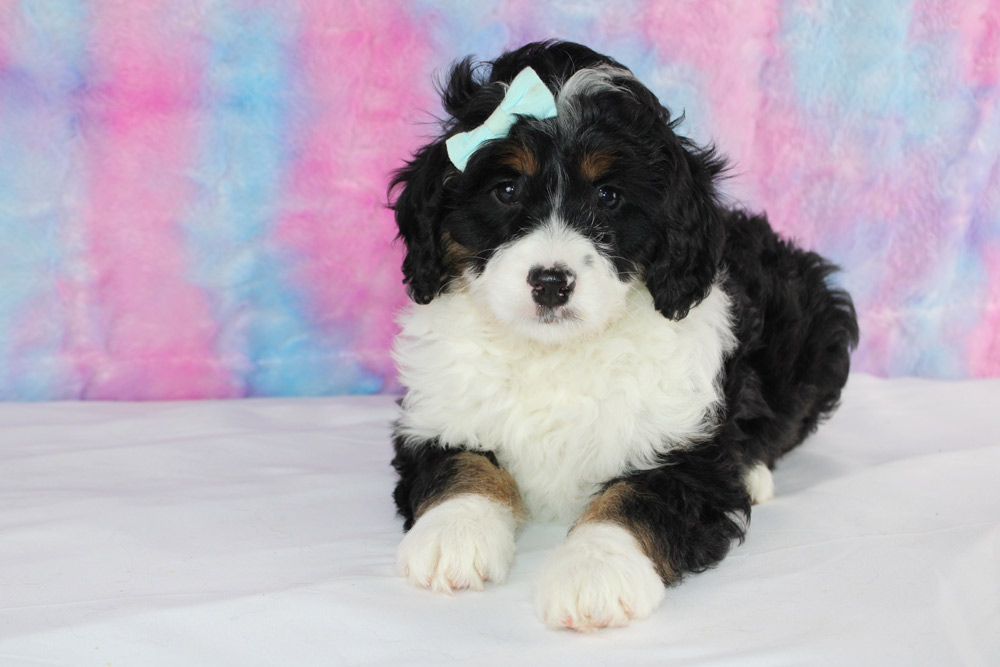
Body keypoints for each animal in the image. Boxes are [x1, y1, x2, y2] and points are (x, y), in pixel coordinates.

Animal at [388, 41, 858, 631]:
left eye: (609, 196)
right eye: (506, 189)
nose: (551, 282)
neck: (555, 353)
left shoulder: (682, 445)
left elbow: (636, 498)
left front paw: (595, 571)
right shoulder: (436, 413)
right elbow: (460, 466)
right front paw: (453, 534)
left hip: (815, 330)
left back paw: (752, 471)